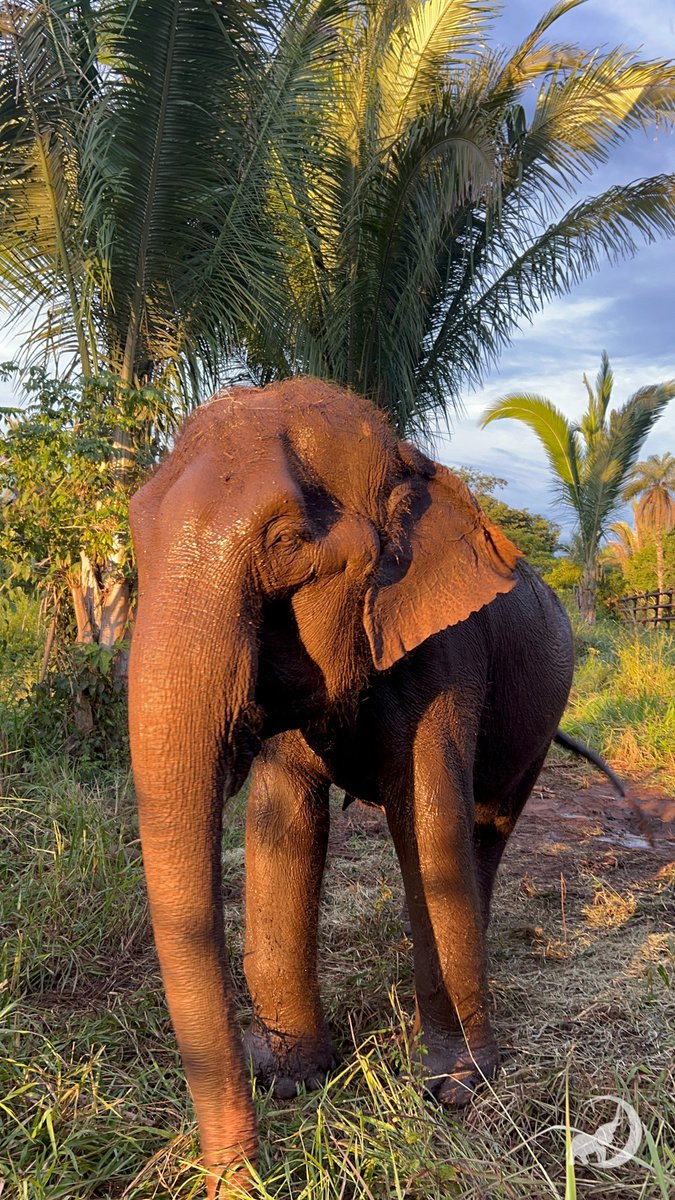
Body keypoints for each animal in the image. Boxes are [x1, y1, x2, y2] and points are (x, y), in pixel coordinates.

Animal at [130, 374, 571, 1190]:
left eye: (285, 543)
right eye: (138, 531)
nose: (236, 1177)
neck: (408, 462)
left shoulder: (447, 653)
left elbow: (428, 825)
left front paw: (458, 1088)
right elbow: (283, 826)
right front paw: (291, 1077)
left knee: (486, 828)